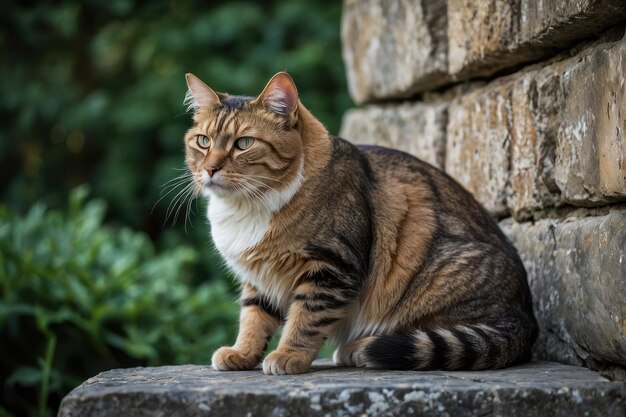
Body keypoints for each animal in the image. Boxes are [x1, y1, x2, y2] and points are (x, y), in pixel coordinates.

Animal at [182, 70, 536, 374]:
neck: (248, 206)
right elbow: (254, 317)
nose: (210, 169)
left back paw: (359, 349)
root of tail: (525, 317)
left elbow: (305, 319)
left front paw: (288, 356)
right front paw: (241, 354)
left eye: (243, 143)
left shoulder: (331, 268)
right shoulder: (259, 278)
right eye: (203, 141)